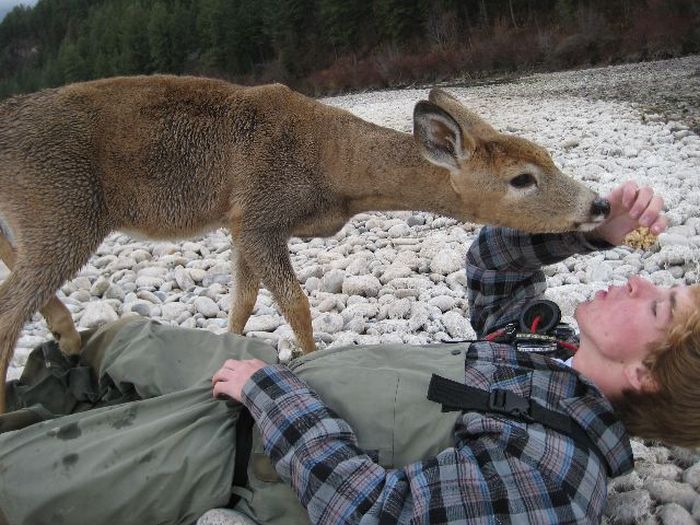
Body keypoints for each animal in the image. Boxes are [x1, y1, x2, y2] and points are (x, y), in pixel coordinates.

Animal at [0, 77, 612, 414]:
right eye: (522, 179)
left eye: (548, 158)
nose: (599, 205)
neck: (334, 168)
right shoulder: (260, 213)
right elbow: (295, 304)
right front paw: (312, 361)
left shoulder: (240, 221)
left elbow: (244, 300)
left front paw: (230, 348)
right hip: (62, 206)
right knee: (10, 307)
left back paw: (67, 336)